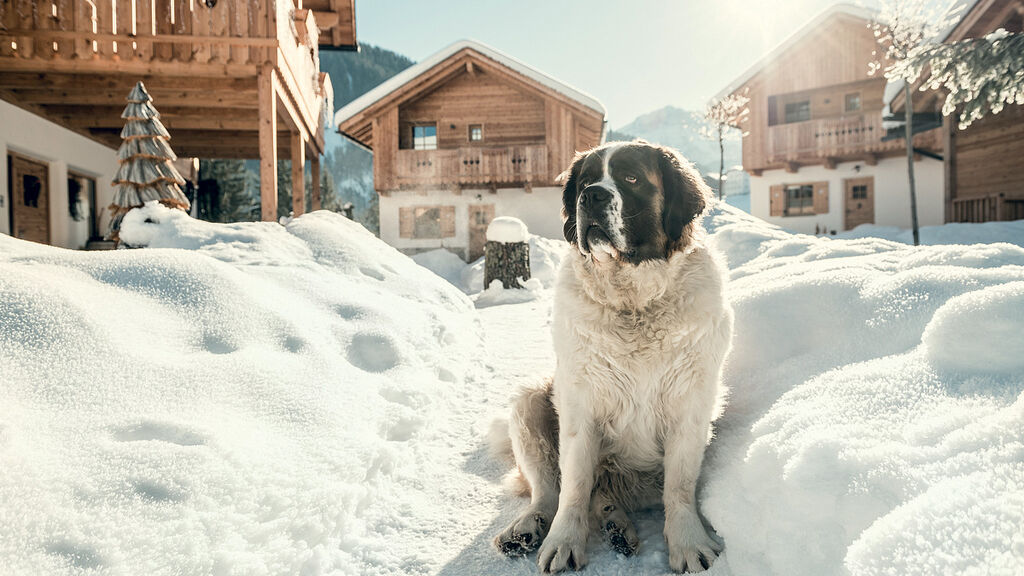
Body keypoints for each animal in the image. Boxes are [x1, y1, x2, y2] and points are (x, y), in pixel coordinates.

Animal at [491, 139, 733, 569]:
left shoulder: (690, 403)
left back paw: (617, 526)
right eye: (585, 181)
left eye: (631, 178)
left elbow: (681, 485)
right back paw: (527, 530)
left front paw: (689, 544)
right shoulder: (580, 404)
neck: (633, 300)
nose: (591, 196)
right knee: (549, 490)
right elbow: (573, 485)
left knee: (603, 495)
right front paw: (564, 542)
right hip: (529, 403)